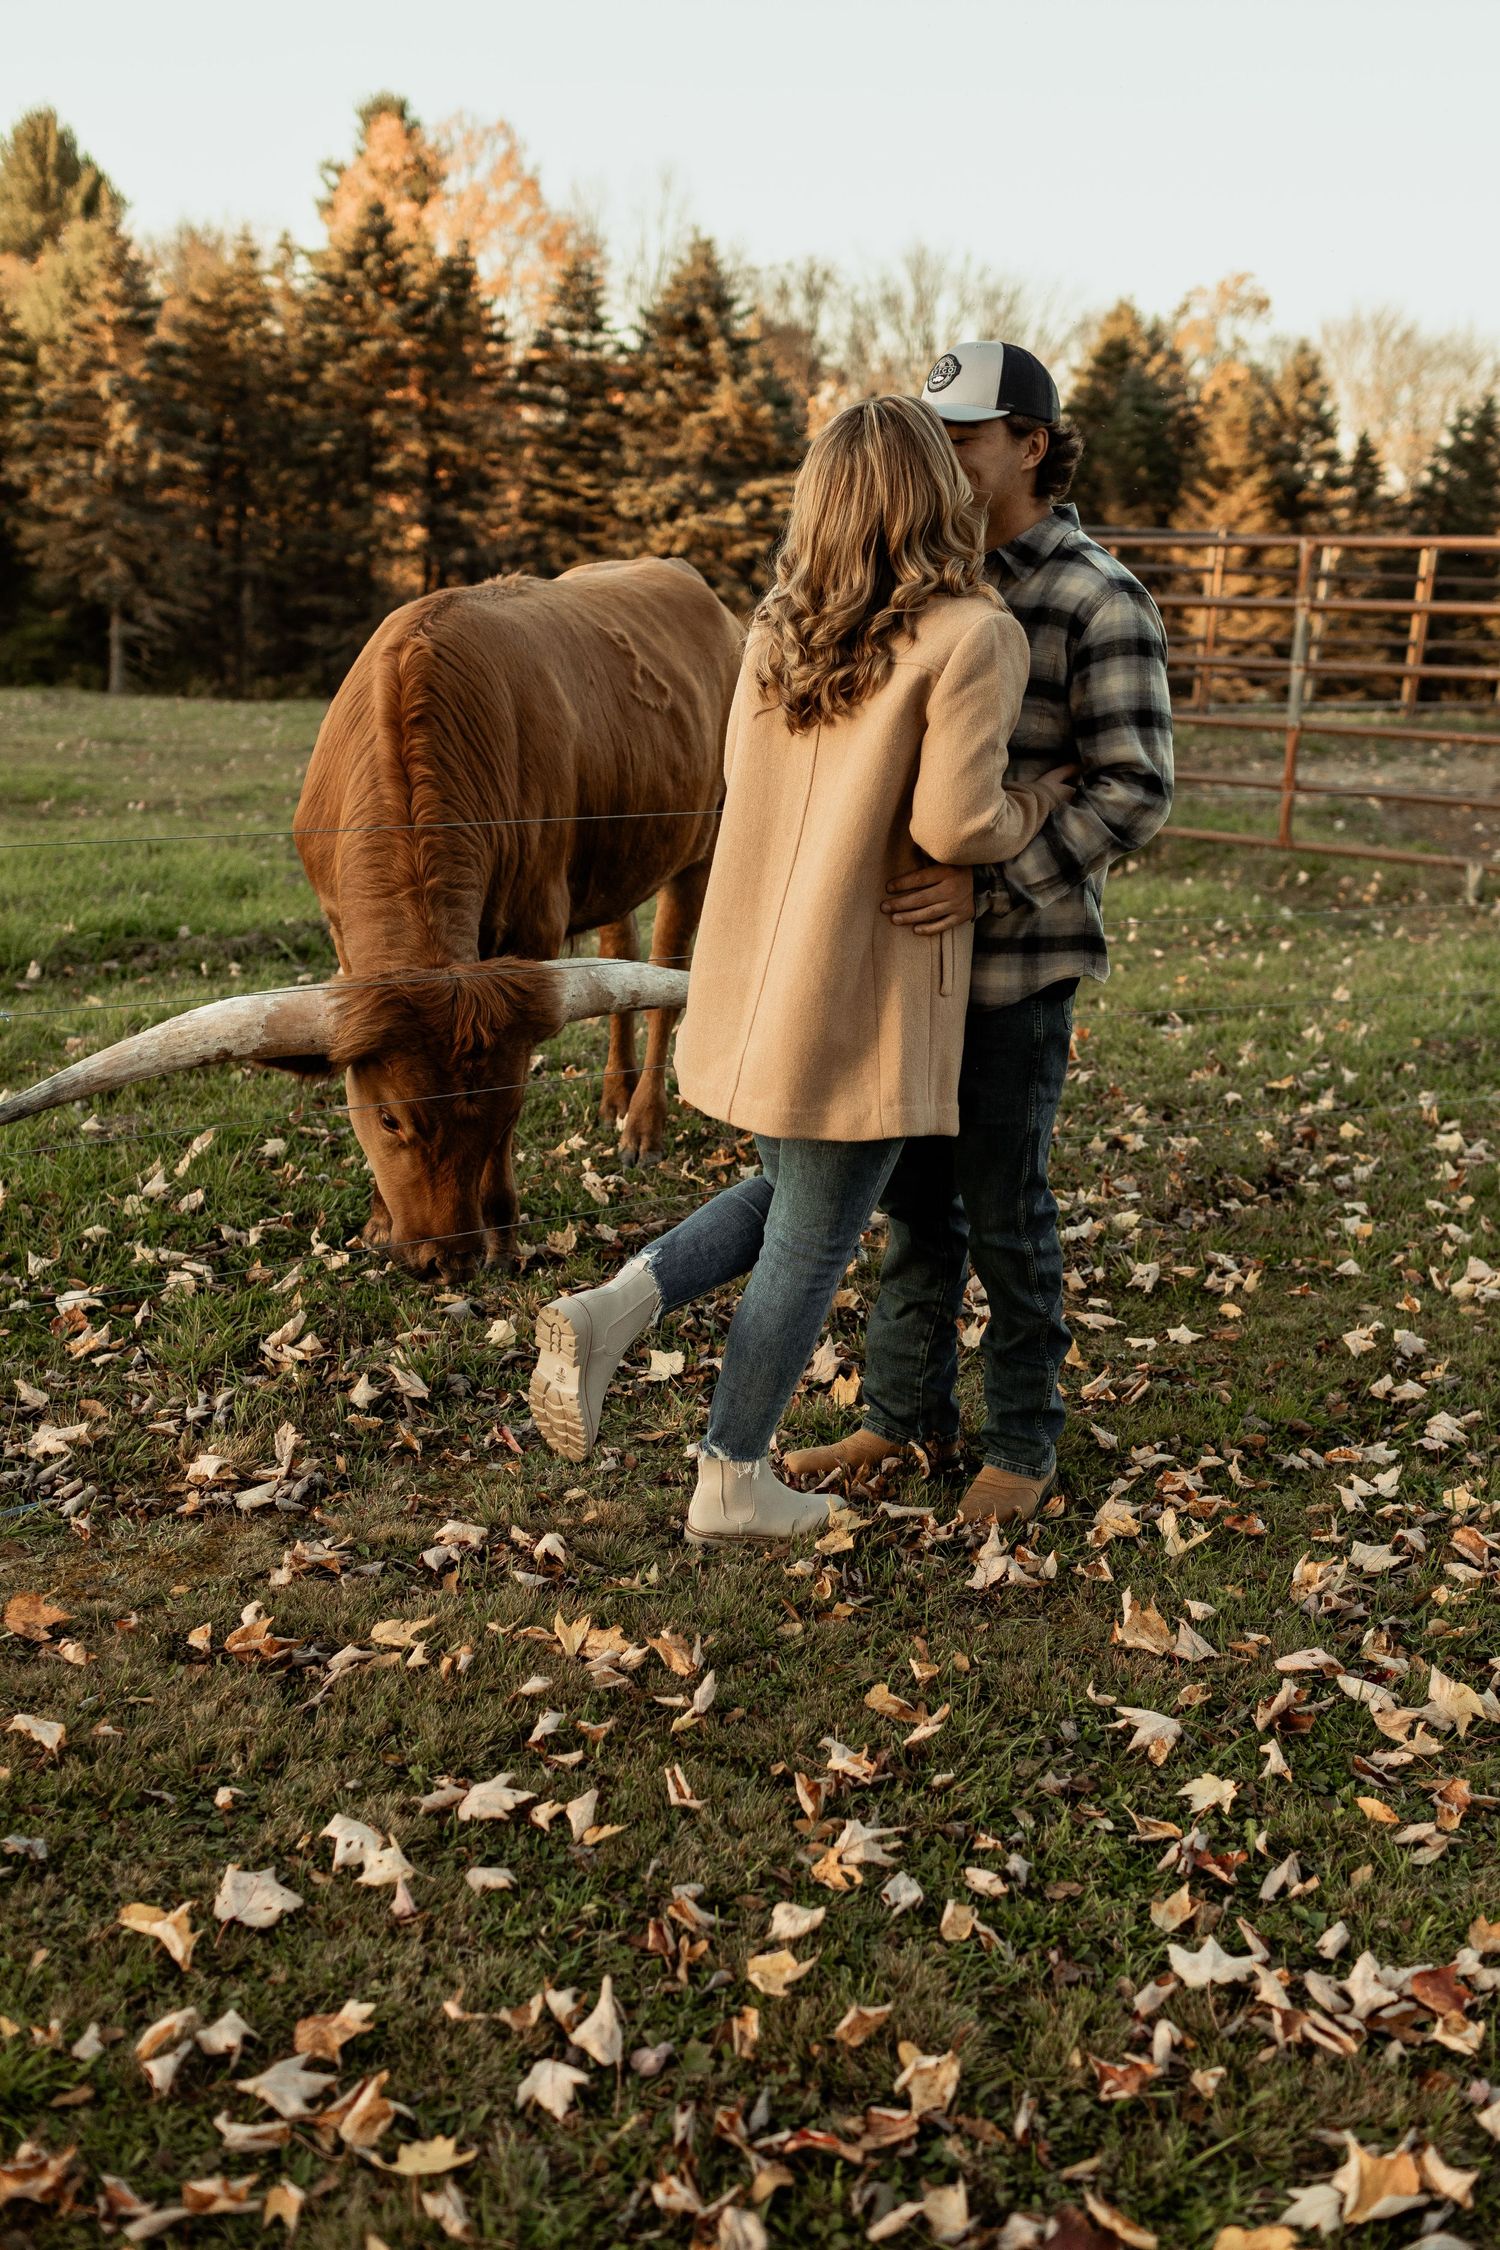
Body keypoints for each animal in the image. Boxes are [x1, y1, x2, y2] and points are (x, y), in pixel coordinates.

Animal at [0, 558, 743, 1278]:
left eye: (505, 1107)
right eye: (388, 1118)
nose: (449, 1260)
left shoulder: (534, 930)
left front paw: (503, 1232)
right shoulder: (344, 934)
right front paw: (382, 1221)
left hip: (704, 853)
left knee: (668, 976)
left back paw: (641, 1126)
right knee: (625, 944)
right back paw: (614, 1099)